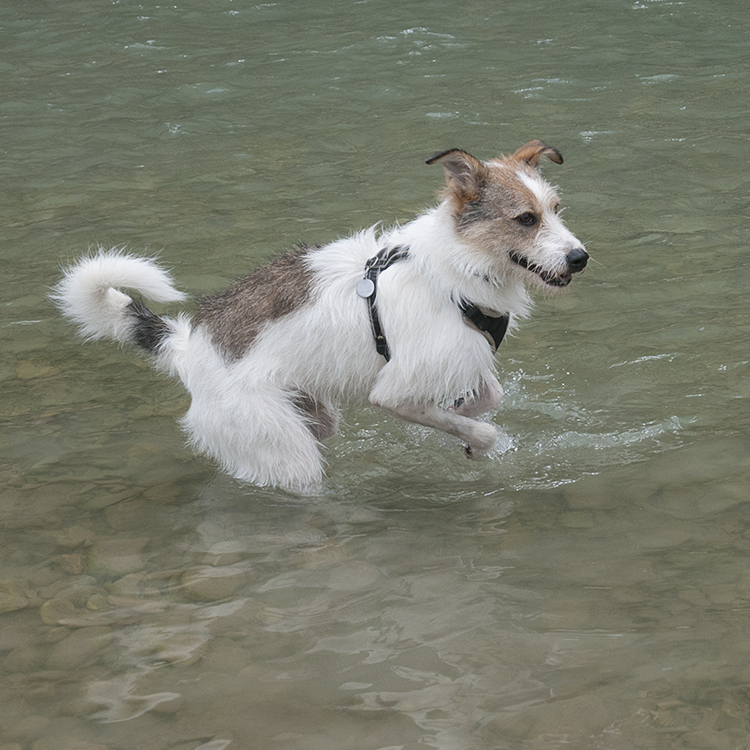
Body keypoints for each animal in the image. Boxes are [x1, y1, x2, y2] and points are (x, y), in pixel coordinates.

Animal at [55, 141, 592, 494]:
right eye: (525, 219)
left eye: (556, 209)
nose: (580, 257)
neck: (454, 269)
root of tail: (189, 348)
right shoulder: (391, 393)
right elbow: (482, 428)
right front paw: (476, 443)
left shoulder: (458, 362)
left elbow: (487, 397)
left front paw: (463, 408)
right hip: (285, 453)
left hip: (316, 415)